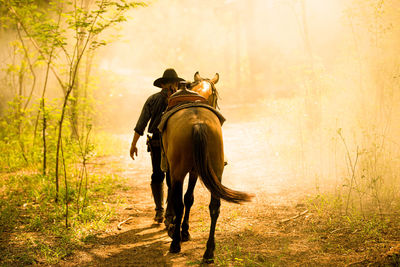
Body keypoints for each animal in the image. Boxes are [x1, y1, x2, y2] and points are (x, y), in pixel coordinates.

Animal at [161, 72, 252, 262]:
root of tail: (198, 123)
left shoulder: (175, 170)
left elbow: (179, 198)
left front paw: (177, 228)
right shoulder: (195, 171)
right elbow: (190, 198)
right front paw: (184, 230)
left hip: (179, 171)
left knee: (179, 202)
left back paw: (175, 244)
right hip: (215, 170)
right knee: (214, 207)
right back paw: (209, 251)